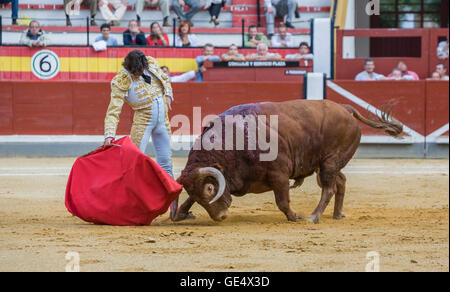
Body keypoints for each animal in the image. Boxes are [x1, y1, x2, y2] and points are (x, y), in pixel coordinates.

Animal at [171, 99, 400, 222]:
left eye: (210, 189)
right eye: (198, 192)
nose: (220, 217)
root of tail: (345, 109)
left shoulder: (279, 173)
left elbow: (282, 200)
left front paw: (294, 217)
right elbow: (188, 199)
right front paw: (180, 213)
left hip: (329, 162)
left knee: (329, 188)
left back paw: (313, 217)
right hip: (326, 163)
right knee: (340, 181)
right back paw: (337, 214)